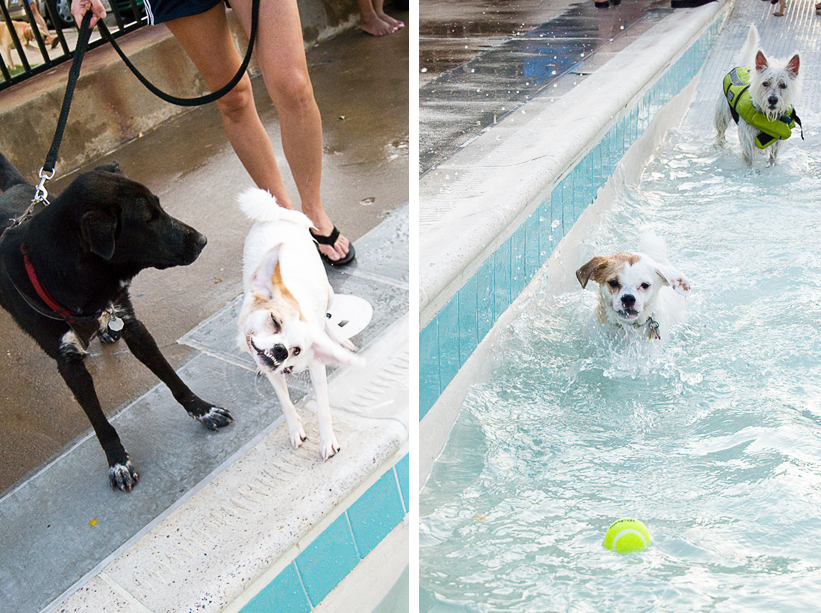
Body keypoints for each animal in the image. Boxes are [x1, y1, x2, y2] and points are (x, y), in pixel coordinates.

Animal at [0, 153, 231, 492]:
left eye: (160, 206)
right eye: (148, 219)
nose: (202, 240)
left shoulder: (134, 326)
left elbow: (173, 379)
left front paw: (203, 410)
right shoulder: (69, 365)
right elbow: (99, 422)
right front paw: (118, 462)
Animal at [239, 186, 364, 460]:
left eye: (296, 350)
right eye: (274, 321)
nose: (280, 350)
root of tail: (277, 214)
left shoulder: (317, 368)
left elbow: (324, 408)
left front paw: (328, 442)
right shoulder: (274, 373)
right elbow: (285, 403)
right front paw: (296, 429)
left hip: (328, 293)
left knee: (326, 318)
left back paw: (338, 339)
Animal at [716, 23, 804, 166]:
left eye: (783, 85)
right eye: (765, 83)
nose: (772, 99)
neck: (768, 118)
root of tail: (742, 66)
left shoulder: (776, 143)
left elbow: (773, 158)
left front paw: (771, 166)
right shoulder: (748, 142)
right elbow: (749, 162)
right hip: (722, 114)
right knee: (720, 132)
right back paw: (718, 146)